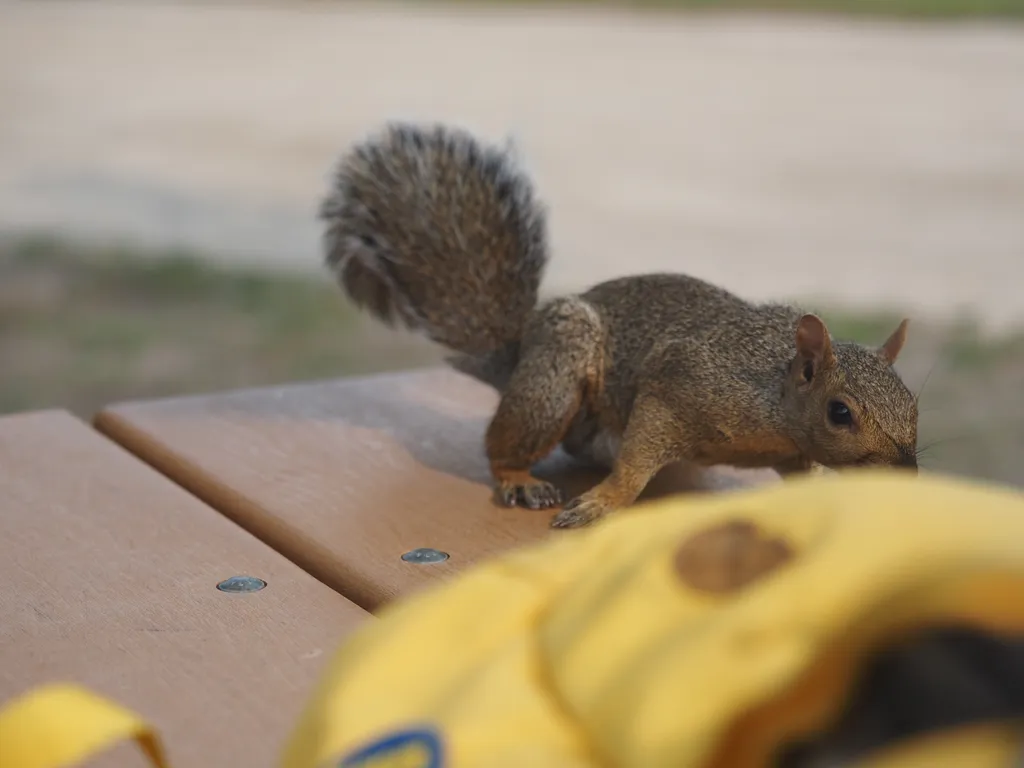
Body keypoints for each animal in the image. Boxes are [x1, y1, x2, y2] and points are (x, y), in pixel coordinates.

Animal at [319, 121, 921, 528]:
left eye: (914, 403)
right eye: (840, 412)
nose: (908, 475)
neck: (773, 396)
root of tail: (515, 354)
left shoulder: (792, 453)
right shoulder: (678, 389)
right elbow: (637, 459)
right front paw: (603, 503)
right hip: (554, 381)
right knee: (503, 444)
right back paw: (519, 479)